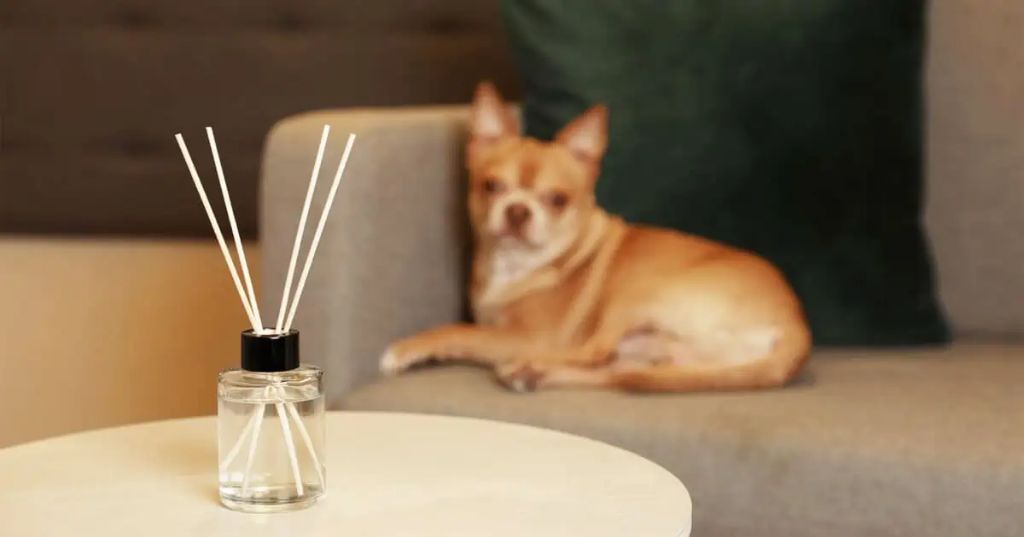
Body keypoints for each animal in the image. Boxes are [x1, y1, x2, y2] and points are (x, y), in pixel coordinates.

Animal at [380, 81, 811, 391]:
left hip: (635, 293)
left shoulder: (532, 337)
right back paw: (530, 372)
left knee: (593, 352)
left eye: (557, 200)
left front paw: (406, 348)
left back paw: (528, 366)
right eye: (491, 187)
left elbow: (458, 330)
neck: (518, 265)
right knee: (615, 371)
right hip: (661, 354)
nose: (518, 210)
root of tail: (797, 327)